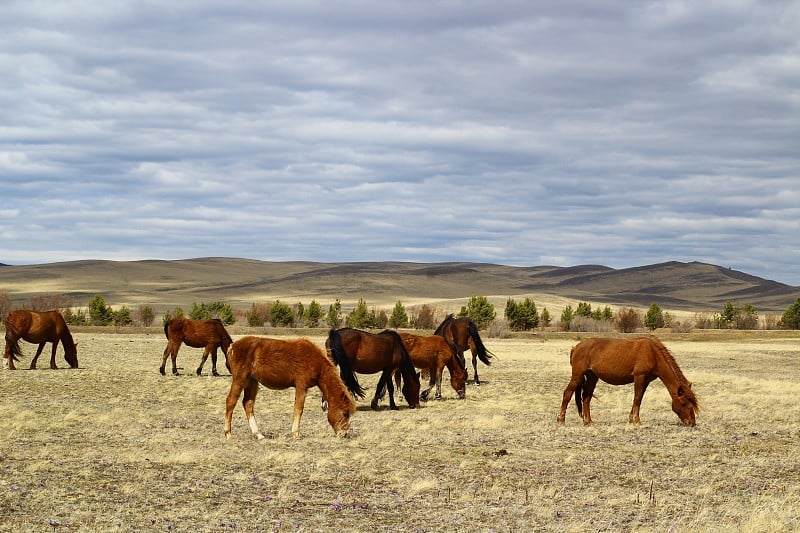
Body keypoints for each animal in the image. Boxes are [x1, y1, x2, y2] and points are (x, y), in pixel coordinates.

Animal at [222, 336, 354, 436]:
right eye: (345, 413)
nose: (344, 434)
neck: (316, 362)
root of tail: (232, 347)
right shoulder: (301, 385)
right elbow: (299, 409)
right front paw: (296, 433)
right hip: (240, 378)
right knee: (231, 401)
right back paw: (228, 433)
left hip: (252, 381)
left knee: (248, 404)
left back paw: (258, 434)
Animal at [556, 338, 700, 426]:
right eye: (685, 403)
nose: (692, 423)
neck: (652, 353)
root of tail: (575, 347)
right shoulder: (639, 377)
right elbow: (637, 398)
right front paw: (636, 421)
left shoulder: (646, 380)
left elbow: (639, 399)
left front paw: (632, 419)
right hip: (578, 376)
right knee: (567, 393)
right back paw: (561, 420)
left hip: (592, 377)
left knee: (586, 398)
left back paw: (588, 421)